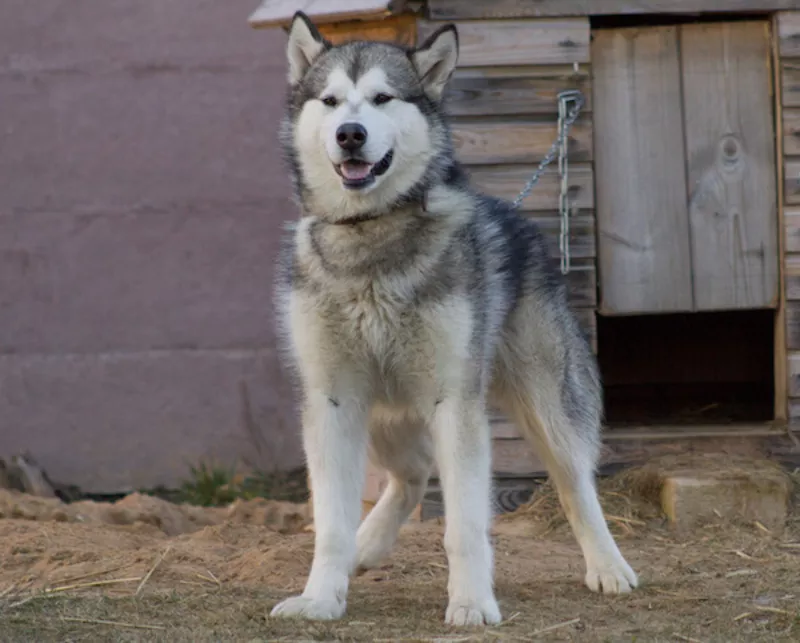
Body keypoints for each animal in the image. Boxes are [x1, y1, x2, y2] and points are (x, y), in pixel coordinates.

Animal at [268, 12, 636, 628]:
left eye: (383, 98)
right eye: (331, 101)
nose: (350, 134)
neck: (371, 240)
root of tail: (515, 216)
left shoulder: (453, 400)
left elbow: (464, 524)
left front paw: (470, 603)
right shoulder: (333, 400)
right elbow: (331, 524)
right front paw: (320, 597)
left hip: (547, 405)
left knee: (576, 484)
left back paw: (608, 566)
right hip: (382, 414)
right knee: (413, 473)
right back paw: (368, 545)